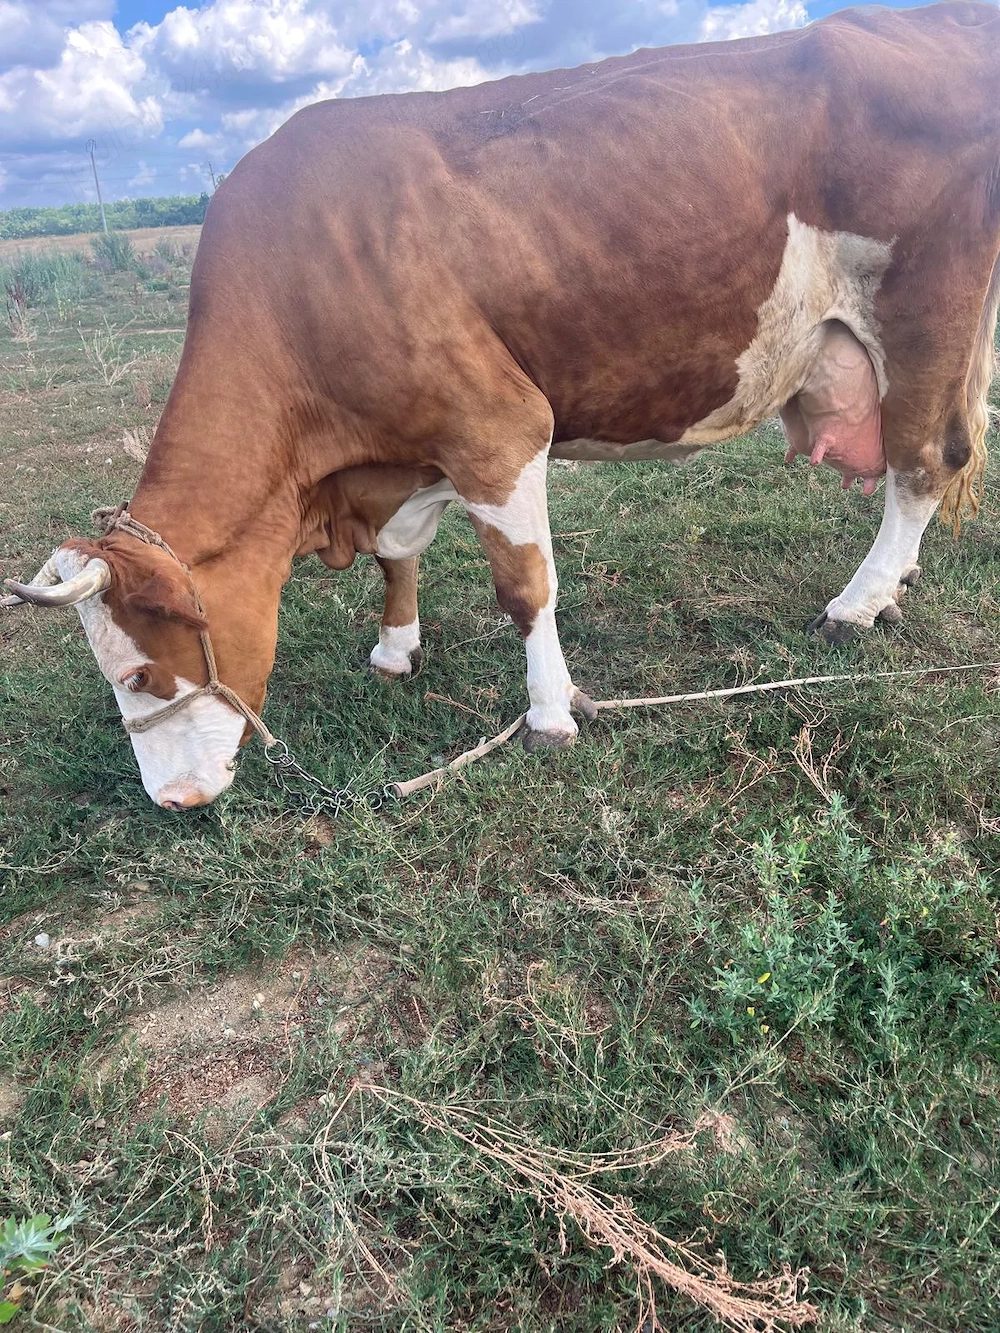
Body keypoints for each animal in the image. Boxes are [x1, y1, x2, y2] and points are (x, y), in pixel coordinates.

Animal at [4, 2, 999, 810]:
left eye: (140, 671)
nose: (172, 800)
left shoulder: (499, 428)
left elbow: (525, 587)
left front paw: (551, 713)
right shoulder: (414, 451)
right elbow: (399, 555)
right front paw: (396, 648)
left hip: (927, 311)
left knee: (924, 460)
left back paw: (858, 602)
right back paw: (895, 585)